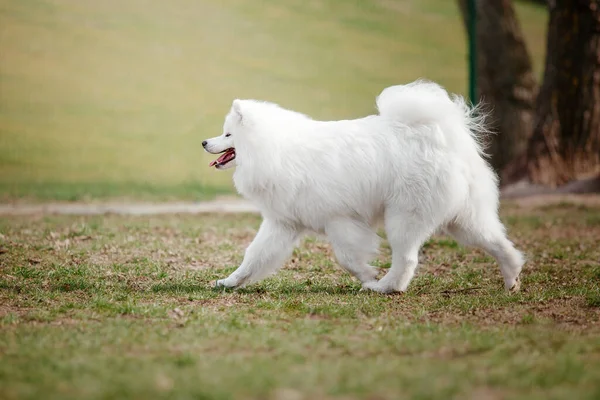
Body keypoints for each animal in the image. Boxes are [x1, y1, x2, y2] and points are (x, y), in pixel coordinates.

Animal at [204, 81, 524, 294]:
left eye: (228, 134)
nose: (204, 142)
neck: (276, 150)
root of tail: (438, 135)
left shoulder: (339, 220)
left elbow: (347, 258)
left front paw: (368, 277)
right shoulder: (283, 224)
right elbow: (254, 257)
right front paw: (228, 281)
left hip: (404, 216)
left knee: (407, 258)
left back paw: (385, 287)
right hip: (463, 220)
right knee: (498, 243)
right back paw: (512, 279)